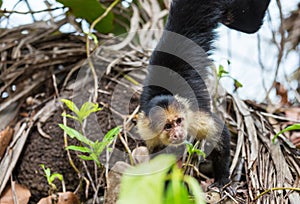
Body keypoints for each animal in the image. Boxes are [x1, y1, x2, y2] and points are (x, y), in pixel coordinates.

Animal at [137, 0, 270, 188]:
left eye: (179, 121)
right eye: (168, 126)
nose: (178, 133)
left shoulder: (194, 116)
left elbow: (219, 134)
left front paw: (222, 178)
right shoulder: (149, 135)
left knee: (249, 23)